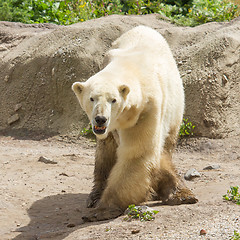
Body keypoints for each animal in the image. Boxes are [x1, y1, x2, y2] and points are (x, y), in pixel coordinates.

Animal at [72, 25, 198, 221]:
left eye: (113, 100)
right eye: (91, 98)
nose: (101, 118)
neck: (131, 66)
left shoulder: (146, 109)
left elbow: (137, 154)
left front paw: (103, 210)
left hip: (175, 109)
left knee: (165, 148)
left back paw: (179, 193)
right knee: (105, 150)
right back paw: (95, 196)